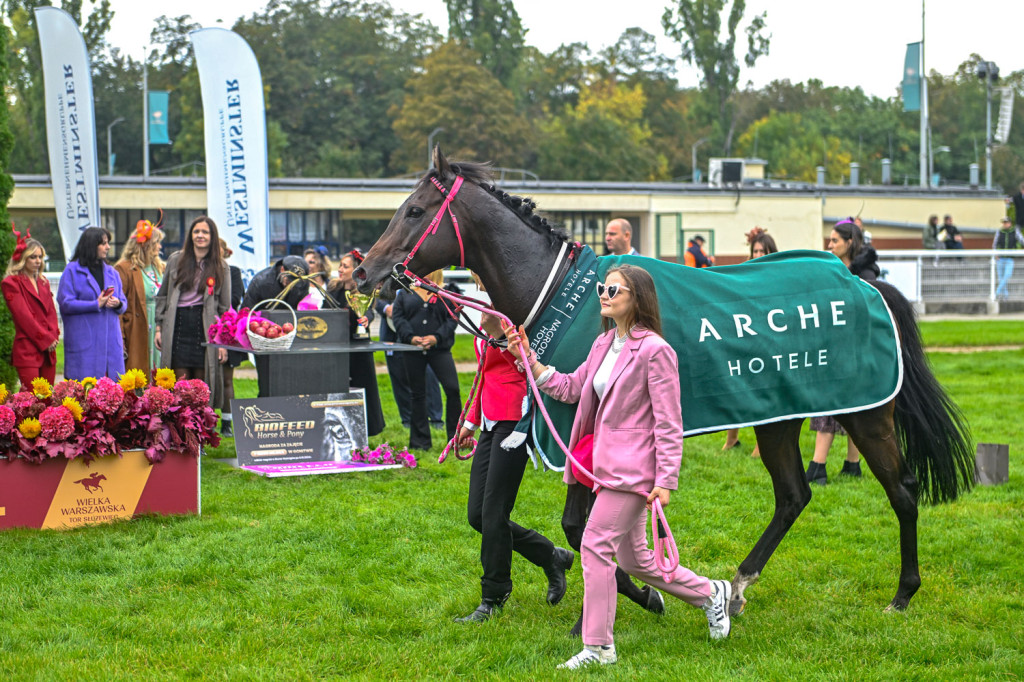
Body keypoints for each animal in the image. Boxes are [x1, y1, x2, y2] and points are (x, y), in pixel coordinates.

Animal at [356, 146, 970, 614]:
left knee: (902, 490)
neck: (559, 294)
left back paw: (902, 594)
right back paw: (740, 584)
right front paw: (635, 587)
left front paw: (641, 592)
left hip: (866, 413)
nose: (363, 272)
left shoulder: (583, 436)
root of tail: (866, 283)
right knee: (794, 496)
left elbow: (577, 527)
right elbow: (565, 527)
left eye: (414, 210)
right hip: (776, 416)